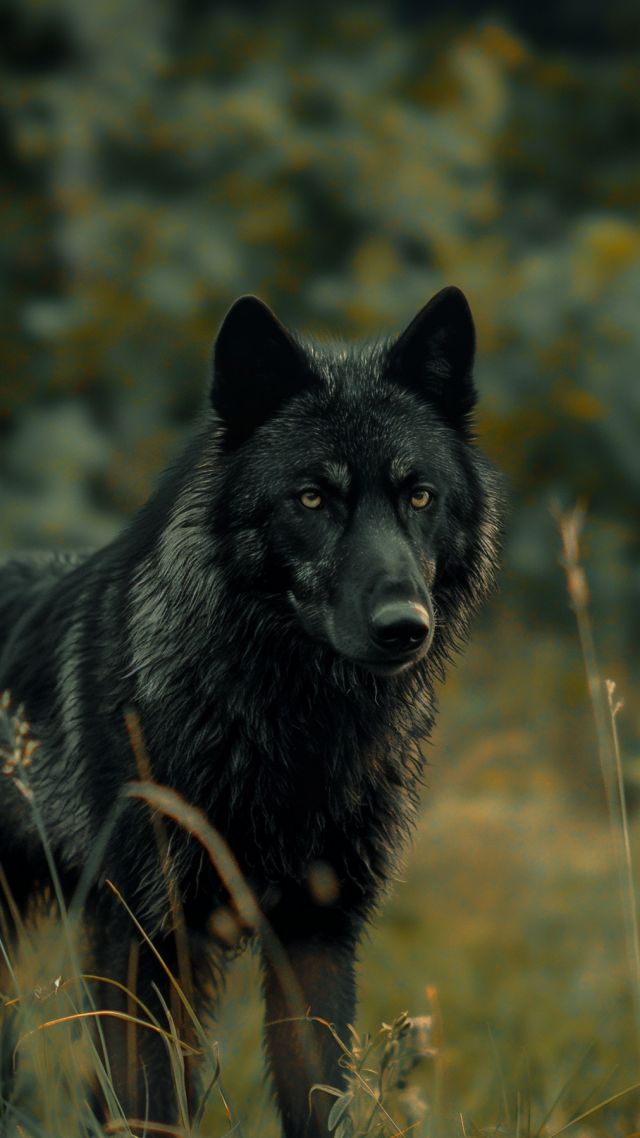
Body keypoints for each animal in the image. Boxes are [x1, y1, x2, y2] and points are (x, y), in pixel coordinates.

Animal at [0, 286, 503, 1136]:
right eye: (312, 497)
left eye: (419, 495)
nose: (405, 626)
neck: (289, 728)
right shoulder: (141, 939)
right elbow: (152, 1107)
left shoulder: (316, 937)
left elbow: (317, 1106)